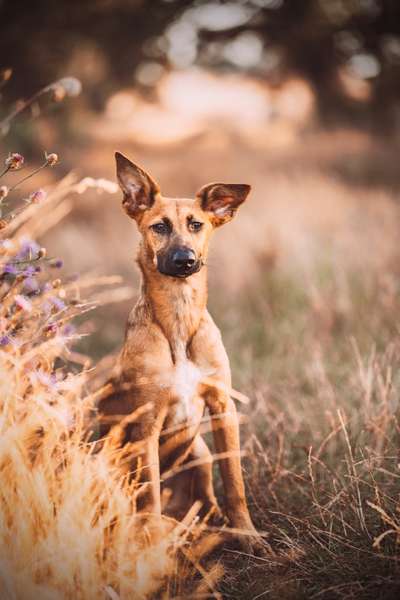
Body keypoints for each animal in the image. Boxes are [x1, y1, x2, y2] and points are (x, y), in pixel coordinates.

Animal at [99, 154, 260, 548]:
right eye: (159, 227)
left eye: (196, 224)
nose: (185, 260)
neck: (179, 315)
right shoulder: (147, 422)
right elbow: (150, 496)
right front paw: (151, 541)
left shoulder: (223, 405)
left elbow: (234, 482)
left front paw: (247, 534)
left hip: (199, 452)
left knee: (208, 499)